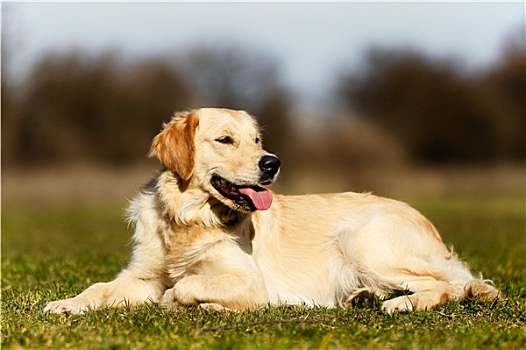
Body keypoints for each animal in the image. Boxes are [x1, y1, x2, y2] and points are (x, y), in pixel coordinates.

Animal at [44, 107, 500, 314]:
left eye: (258, 139)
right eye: (225, 139)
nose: (272, 162)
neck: (190, 220)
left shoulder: (249, 282)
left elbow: (187, 286)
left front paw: (180, 300)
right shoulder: (140, 276)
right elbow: (99, 289)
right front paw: (66, 304)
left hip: (363, 241)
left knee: (453, 286)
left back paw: (399, 304)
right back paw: (362, 297)